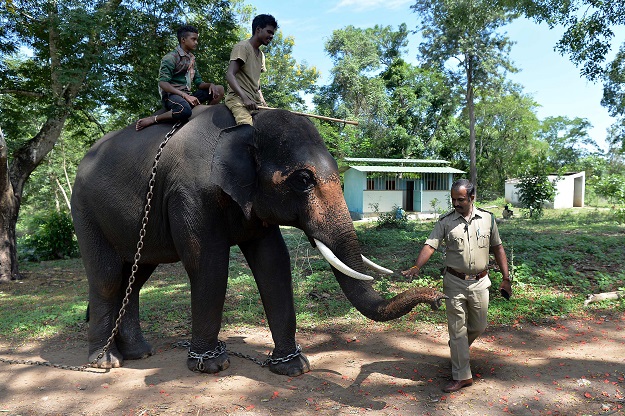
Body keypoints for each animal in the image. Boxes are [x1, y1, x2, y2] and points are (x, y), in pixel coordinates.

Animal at [70, 104, 446, 376]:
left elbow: (273, 262)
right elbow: (208, 263)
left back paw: (139, 353)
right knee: (107, 278)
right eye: (303, 180)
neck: (246, 124)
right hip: (85, 210)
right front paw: (211, 365)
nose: (437, 298)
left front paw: (293, 367)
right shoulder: (189, 194)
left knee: (134, 278)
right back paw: (105, 362)